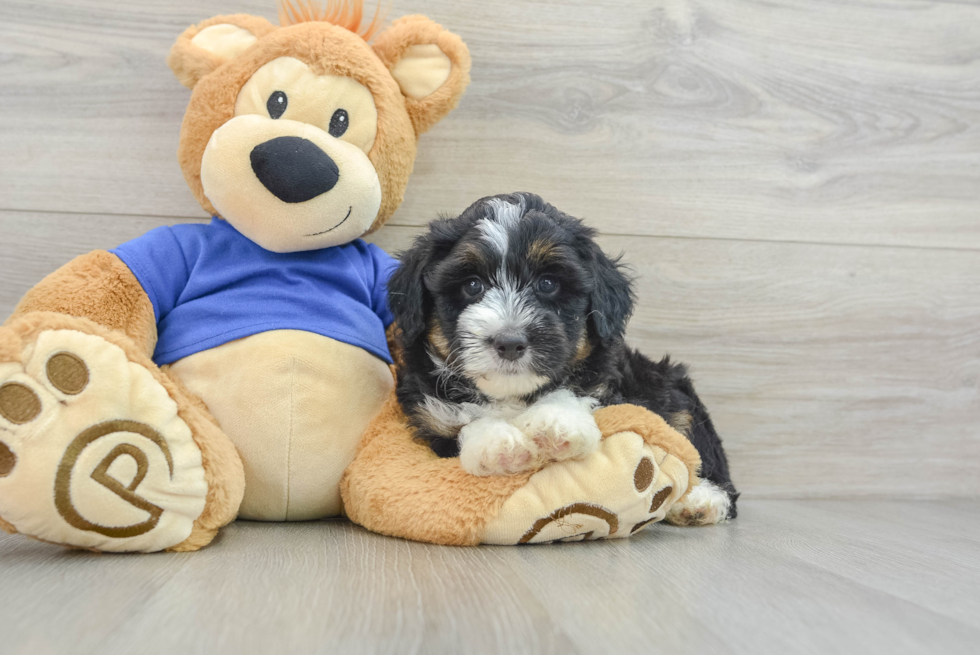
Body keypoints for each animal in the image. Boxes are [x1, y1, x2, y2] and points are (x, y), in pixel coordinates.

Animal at [386, 192, 740, 524]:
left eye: (548, 283)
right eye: (473, 285)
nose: (510, 342)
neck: (513, 396)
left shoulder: (607, 385)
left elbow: (575, 392)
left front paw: (556, 424)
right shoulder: (431, 417)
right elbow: (461, 426)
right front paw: (499, 444)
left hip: (673, 390)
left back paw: (701, 501)